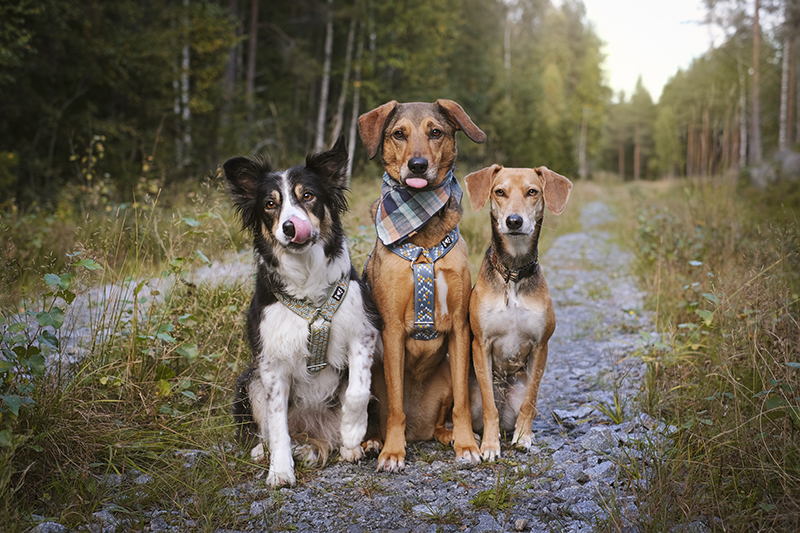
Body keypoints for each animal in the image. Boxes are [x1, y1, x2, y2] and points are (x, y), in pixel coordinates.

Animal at [225, 136, 382, 486]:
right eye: (270, 205)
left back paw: (352, 445)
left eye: (307, 196)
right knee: (273, 430)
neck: (308, 284)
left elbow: (358, 392)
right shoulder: (271, 361)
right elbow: (277, 424)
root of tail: (315, 431)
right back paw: (272, 451)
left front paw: (353, 434)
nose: (289, 227)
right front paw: (281, 471)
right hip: (248, 379)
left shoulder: (362, 334)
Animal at [360, 98, 484, 470]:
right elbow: (396, 408)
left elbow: (462, 403)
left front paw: (467, 444)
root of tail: (420, 430)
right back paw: (374, 441)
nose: (417, 165)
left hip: (445, 376)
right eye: (399, 134)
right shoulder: (392, 330)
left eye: (436, 132)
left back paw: (446, 435)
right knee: (379, 416)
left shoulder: (459, 327)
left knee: (443, 417)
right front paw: (392, 452)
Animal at [466, 164, 572, 460]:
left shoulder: (540, 346)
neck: (512, 273)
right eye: (499, 192)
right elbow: (489, 407)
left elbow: (531, 401)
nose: (514, 221)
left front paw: (524, 437)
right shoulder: (481, 344)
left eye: (532, 192)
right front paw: (490, 446)